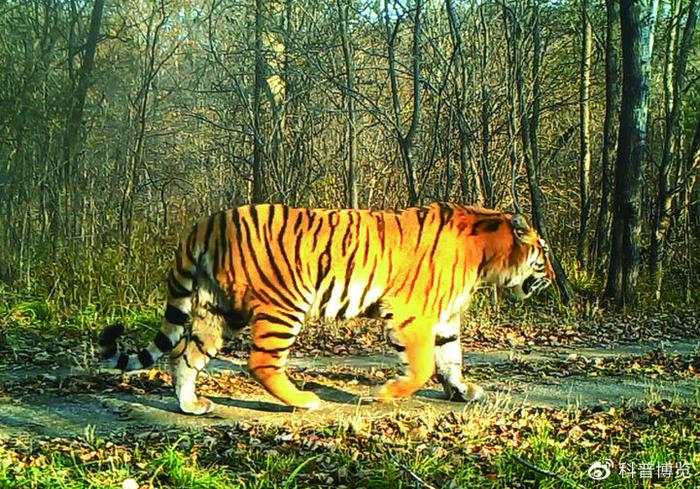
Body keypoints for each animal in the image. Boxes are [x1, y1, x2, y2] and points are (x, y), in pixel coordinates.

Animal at [101, 202, 556, 412]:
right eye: (543, 255)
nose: (555, 276)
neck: (486, 256)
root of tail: (206, 223)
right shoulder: (412, 314)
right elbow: (424, 365)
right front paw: (384, 393)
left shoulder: (444, 318)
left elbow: (451, 359)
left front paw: (463, 391)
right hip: (284, 303)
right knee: (260, 363)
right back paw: (304, 401)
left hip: (219, 311)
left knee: (184, 356)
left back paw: (191, 406)